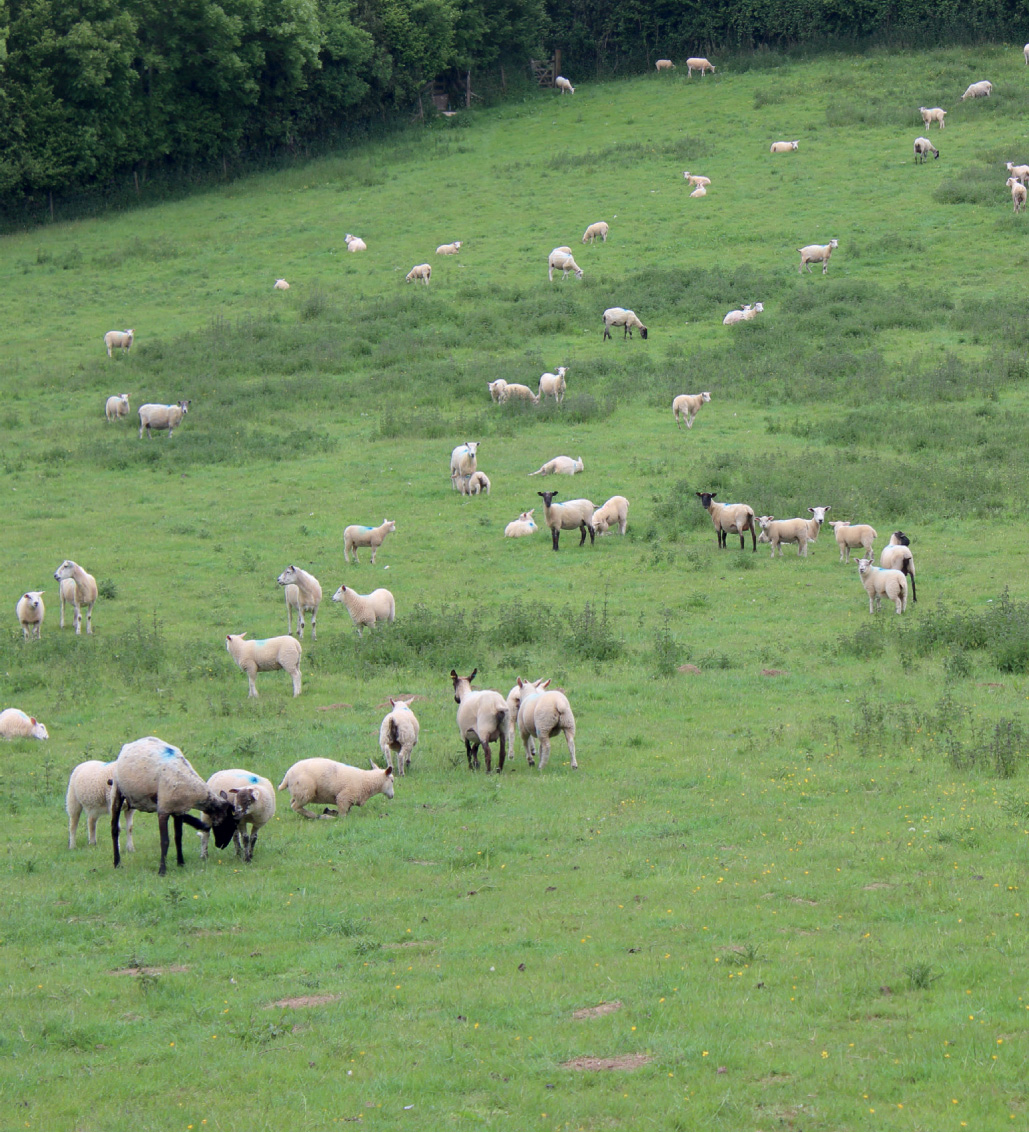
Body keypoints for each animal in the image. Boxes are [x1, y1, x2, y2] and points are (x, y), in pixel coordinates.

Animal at [108, 734, 243, 874]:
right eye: (229, 823)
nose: (220, 845)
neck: (193, 790)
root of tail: (129, 745)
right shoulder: (163, 810)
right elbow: (165, 841)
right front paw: (162, 870)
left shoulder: (178, 810)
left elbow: (178, 837)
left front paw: (181, 863)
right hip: (117, 791)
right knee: (114, 829)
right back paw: (117, 863)